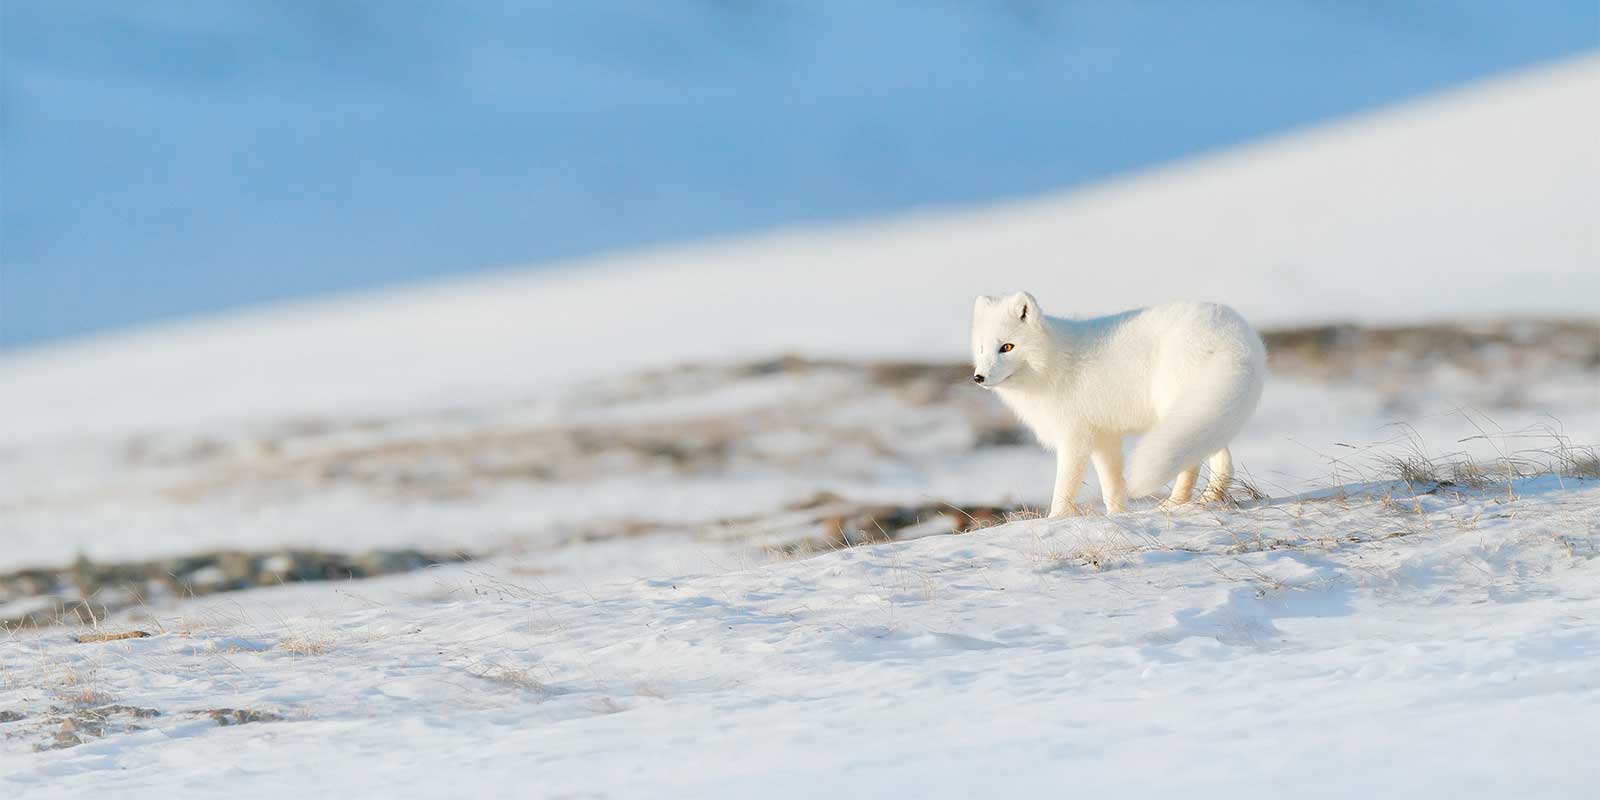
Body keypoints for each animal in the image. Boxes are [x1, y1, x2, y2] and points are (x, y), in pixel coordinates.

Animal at [971, 292, 1266, 516]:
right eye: (982, 348)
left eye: (1007, 347)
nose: (978, 377)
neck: (1053, 365)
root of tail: (1236, 337)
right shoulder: (1104, 437)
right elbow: (1112, 486)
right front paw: (1118, 516)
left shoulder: (1075, 437)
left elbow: (1064, 488)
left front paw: (1056, 519)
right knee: (1223, 462)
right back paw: (1205, 501)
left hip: (1178, 407)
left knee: (1194, 463)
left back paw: (1174, 504)